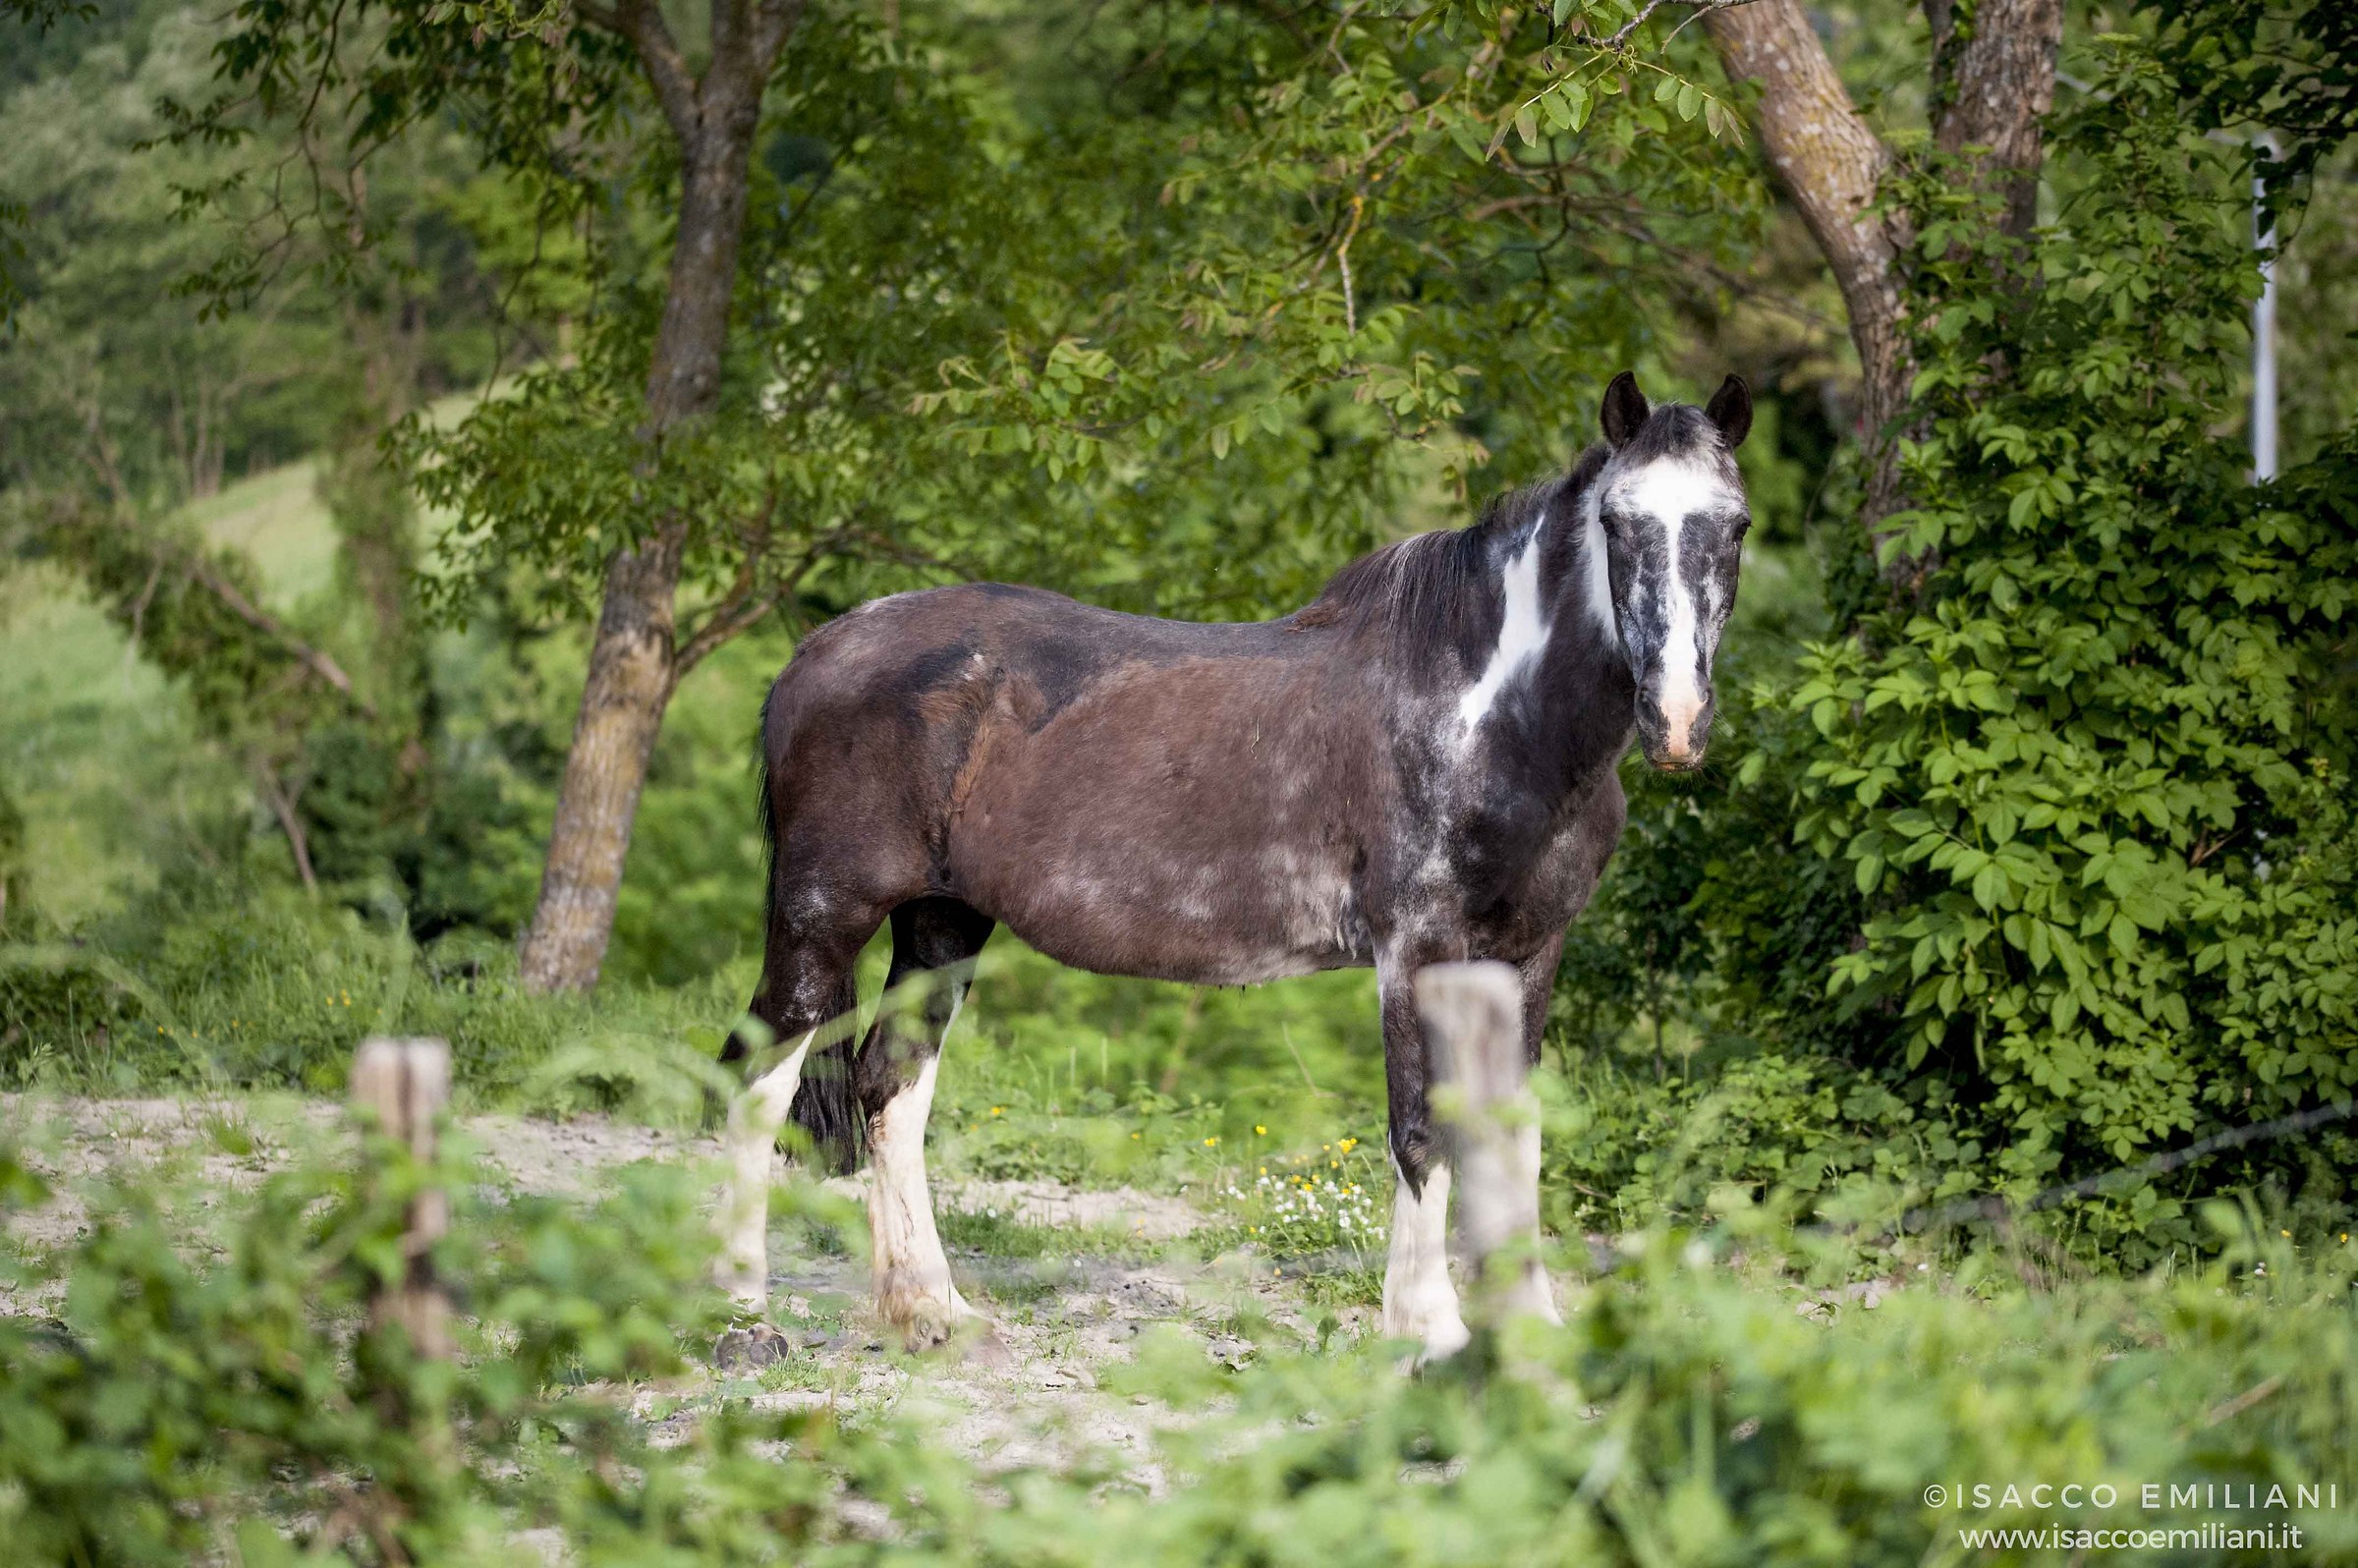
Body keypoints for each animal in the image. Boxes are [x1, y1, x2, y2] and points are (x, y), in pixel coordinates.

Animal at [713, 370, 1754, 1361]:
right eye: (1618, 522)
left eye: (1734, 526)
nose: (1676, 721)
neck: (1489, 715)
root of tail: (818, 650)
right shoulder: (1415, 952)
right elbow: (1421, 1132)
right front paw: (1428, 1333)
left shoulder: (1531, 954)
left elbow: (1515, 1135)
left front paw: (1529, 1329)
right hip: (823, 915)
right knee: (757, 1077)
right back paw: (742, 1321)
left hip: (942, 921)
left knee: (892, 1087)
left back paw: (932, 1315)